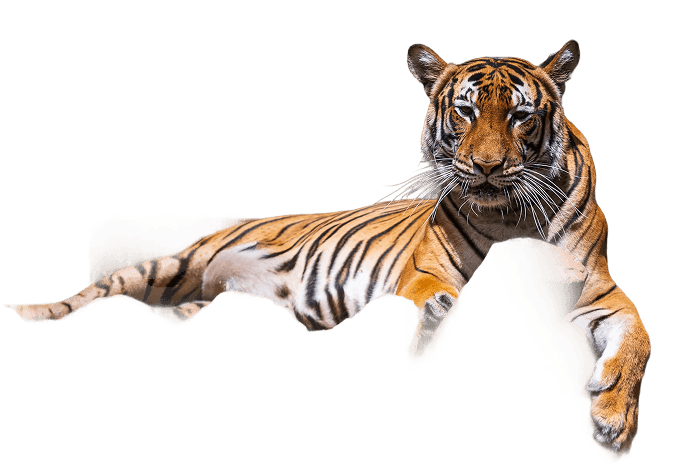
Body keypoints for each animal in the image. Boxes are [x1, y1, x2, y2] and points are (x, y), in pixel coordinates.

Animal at [4, 40, 650, 457]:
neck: (509, 217)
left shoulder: (595, 290)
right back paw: (29, 313)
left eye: (520, 116)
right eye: (466, 111)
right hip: (174, 264)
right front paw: (431, 321)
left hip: (193, 291)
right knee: (97, 291)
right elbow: (431, 291)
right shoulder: (425, 263)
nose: (488, 168)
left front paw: (614, 419)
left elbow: (639, 338)